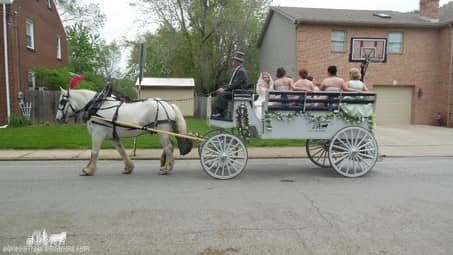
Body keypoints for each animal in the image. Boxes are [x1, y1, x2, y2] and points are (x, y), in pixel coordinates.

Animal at [56, 87, 191, 175]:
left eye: (62, 101)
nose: (57, 119)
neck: (96, 107)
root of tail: (168, 105)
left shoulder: (97, 134)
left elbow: (94, 152)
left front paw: (88, 170)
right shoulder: (113, 136)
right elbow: (121, 151)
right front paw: (129, 167)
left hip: (162, 131)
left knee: (168, 147)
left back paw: (167, 168)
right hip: (164, 131)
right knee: (170, 146)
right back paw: (165, 164)